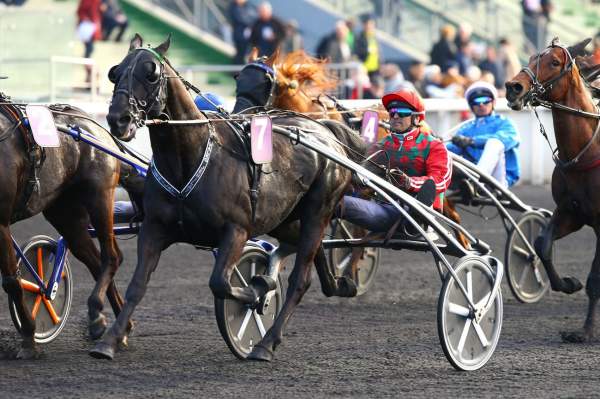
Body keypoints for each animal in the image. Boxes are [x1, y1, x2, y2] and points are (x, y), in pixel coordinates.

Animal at [0, 97, 135, 360]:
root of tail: (95, 126)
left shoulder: (0, 221)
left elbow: (12, 281)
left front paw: (29, 339)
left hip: (99, 198)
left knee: (112, 256)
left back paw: (99, 321)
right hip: (66, 215)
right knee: (96, 261)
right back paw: (119, 328)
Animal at [89, 35, 366, 362]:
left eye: (151, 73)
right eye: (115, 72)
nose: (118, 119)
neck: (189, 159)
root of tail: (325, 131)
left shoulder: (237, 230)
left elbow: (220, 282)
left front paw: (259, 290)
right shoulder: (154, 229)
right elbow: (137, 285)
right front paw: (109, 340)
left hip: (317, 211)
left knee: (301, 278)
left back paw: (265, 343)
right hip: (283, 218)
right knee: (311, 250)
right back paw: (339, 284)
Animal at [506, 38, 600, 344]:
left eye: (555, 62)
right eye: (532, 57)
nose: (514, 86)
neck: (586, 153)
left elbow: (595, 280)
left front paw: (584, 332)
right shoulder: (571, 212)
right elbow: (542, 244)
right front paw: (568, 283)